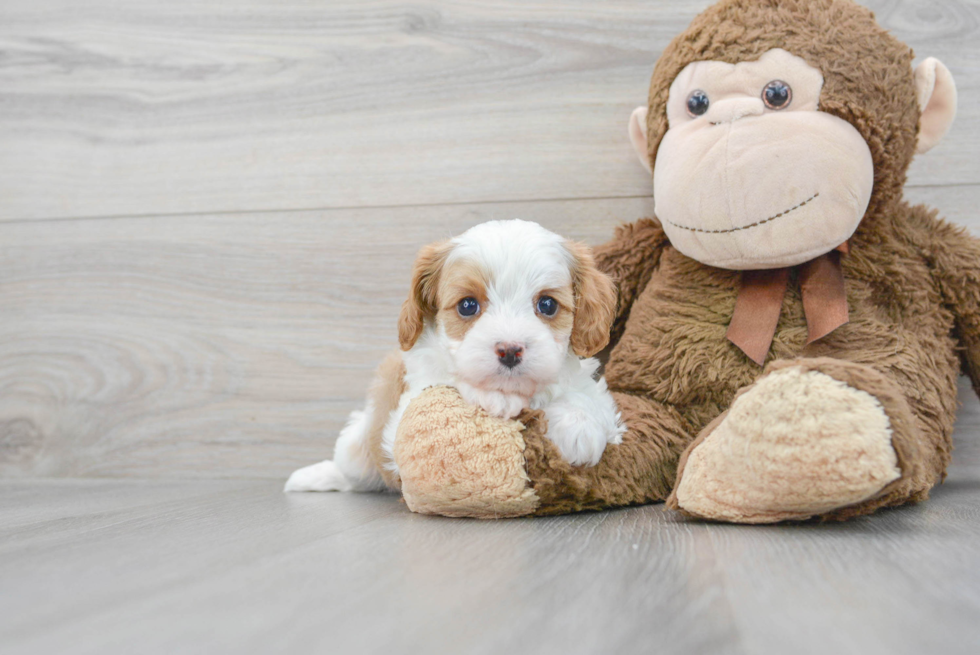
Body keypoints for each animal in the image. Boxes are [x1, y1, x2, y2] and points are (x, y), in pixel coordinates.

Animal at [284, 220, 624, 492]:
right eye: (467, 305)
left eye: (548, 305)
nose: (510, 350)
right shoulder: (409, 403)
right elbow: (451, 378)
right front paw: (495, 396)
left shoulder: (591, 387)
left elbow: (584, 395)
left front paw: (578, 427)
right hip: (359, 443)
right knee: (351, 471)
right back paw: (312, 477)